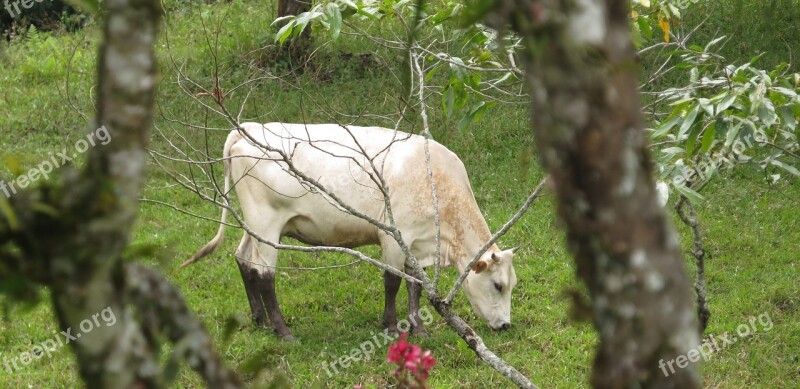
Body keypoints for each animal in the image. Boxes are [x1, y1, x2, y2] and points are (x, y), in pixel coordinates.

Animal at [181, 122, 520, 340]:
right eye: (498, 285)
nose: (506, 325)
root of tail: (245, 129)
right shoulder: (393, 236)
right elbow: (392, 282)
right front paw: (390, 326)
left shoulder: (416, 242)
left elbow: (415, 285)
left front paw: (419, 328)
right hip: (266, 223)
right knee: (264, 275)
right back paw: (282, 330)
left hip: (255, 227)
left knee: (243, 260)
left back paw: (260, 319)